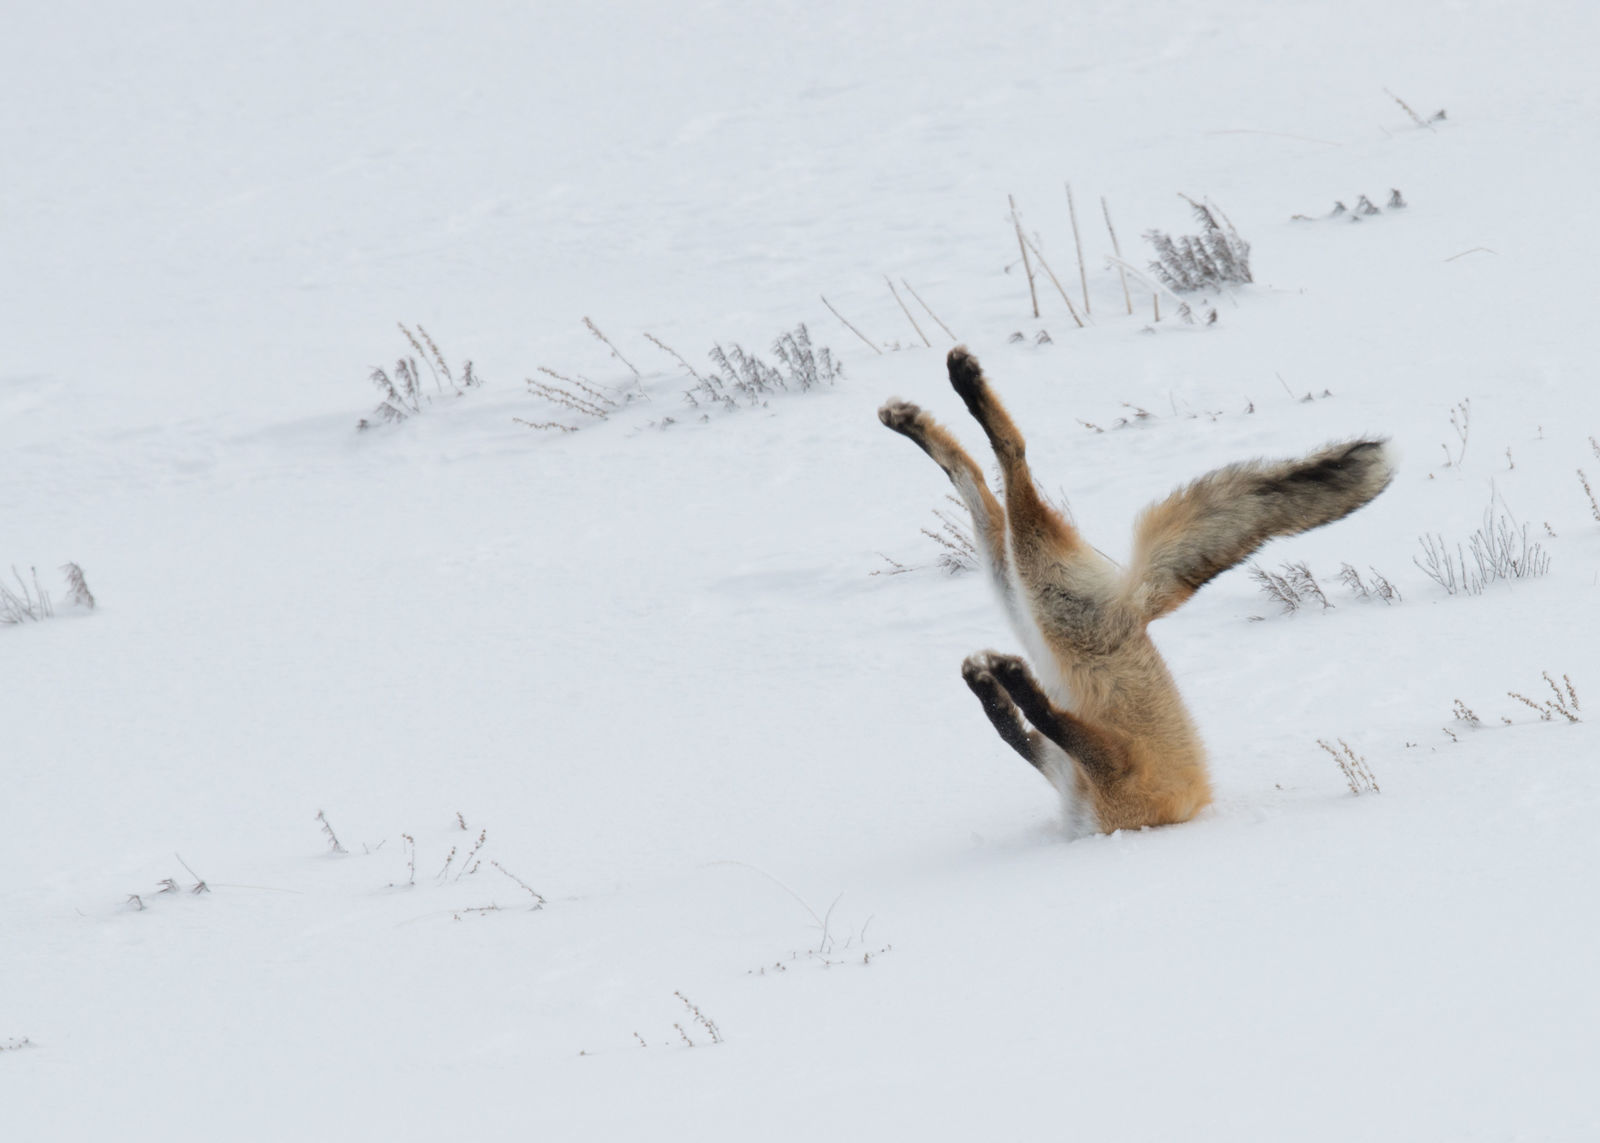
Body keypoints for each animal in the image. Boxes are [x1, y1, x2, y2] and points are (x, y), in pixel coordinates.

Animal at [883, 345, 1395, 826]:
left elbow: (1038, 719)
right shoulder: (1068, 766)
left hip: (1039, 590)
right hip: (1020, 587)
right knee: (975, 477)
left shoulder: (1111, 770)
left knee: (1012, 458)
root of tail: (1137, 606)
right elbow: (1016, 729)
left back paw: (960, 388)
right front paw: (991, 683)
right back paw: (916, 416)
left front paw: (1005, 678)